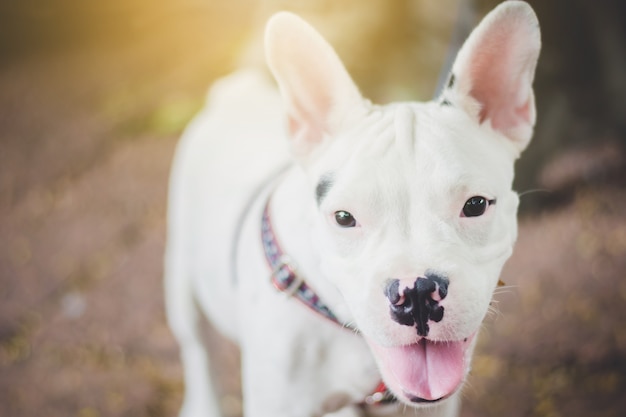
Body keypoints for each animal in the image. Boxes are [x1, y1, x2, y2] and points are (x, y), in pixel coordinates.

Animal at [163, 1, 540, 414]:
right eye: (344, 218)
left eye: (474, 205)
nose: (417, 292)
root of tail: (233, 92)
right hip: (181, 279)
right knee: (197, 348)